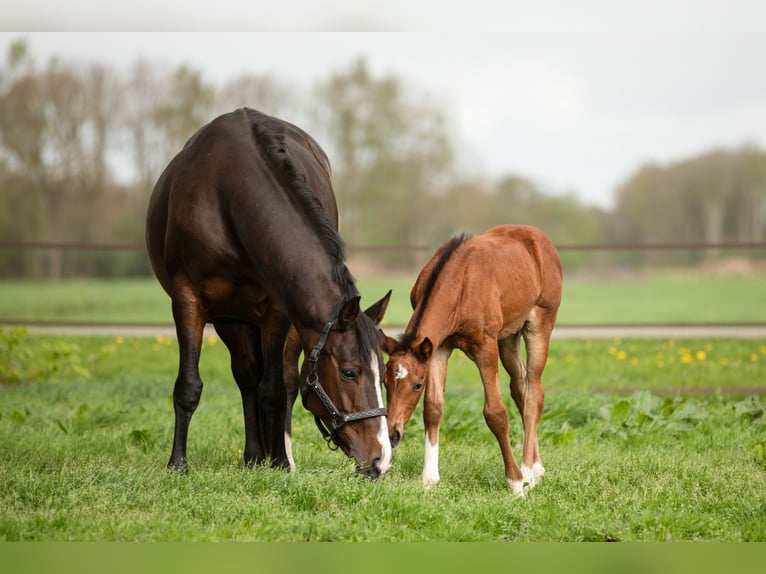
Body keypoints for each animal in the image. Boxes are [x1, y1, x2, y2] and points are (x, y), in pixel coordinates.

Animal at [147, 109, 392, 482]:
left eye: (383, 371)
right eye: (350, 372)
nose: (380, 459)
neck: (229, 195)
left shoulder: (278, 310)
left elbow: (274, 388)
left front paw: (278, 462)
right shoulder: (190, 301)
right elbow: (190, 385)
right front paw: (178, 463)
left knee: (282, 381)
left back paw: (276, 455)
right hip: (232, 318)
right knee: (247, 376)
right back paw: (253, 454)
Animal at [384, 225, 564, 496]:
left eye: (417, 385)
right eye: (385, 382)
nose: (393, 434)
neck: (460, 282)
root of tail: (539, 237)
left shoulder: (485, 348)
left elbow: (496, 413)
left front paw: (515, 484)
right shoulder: (438, 348)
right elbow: (433, 408)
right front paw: (429, 479)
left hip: (540, 324)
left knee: (535, 392)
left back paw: (529, 470)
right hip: (508, 337)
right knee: (520, 387)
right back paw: (537, 468)